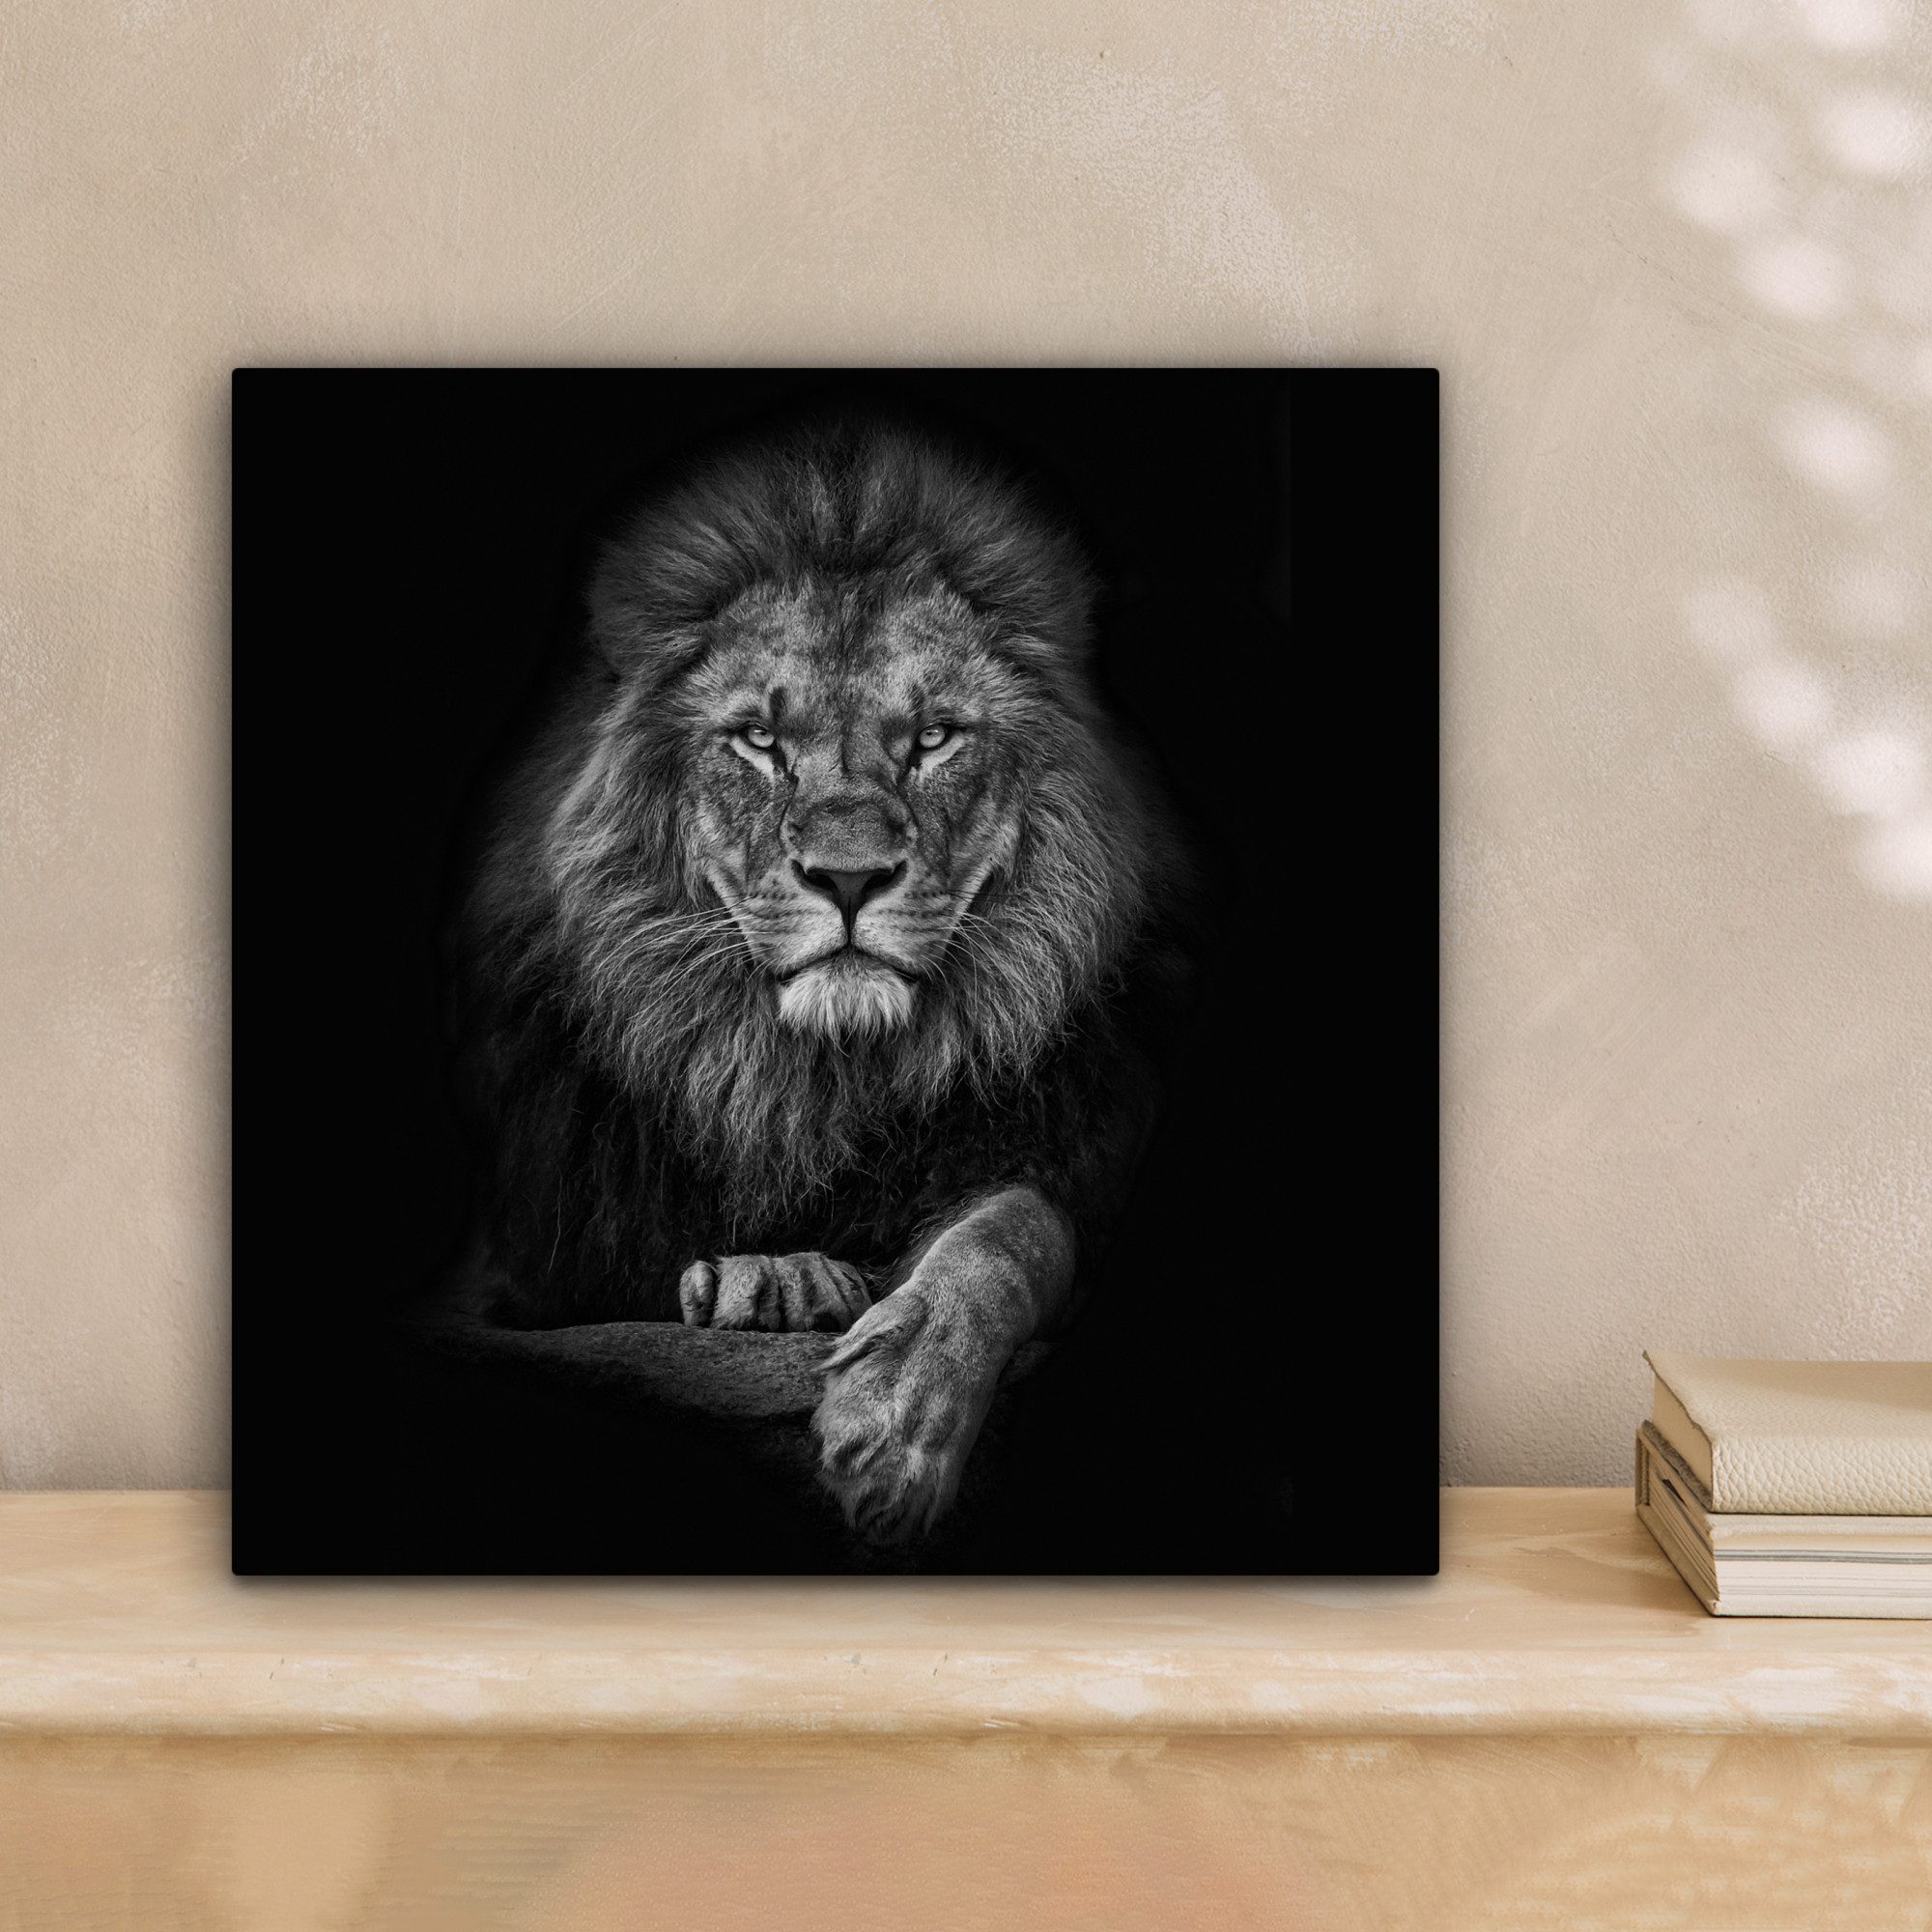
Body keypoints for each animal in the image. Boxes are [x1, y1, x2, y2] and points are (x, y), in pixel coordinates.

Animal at [445, 416, 1190, 1545]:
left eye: (932, 738)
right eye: (760, 739)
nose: (847, 876)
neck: (810, 1083)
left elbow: (1011, 1230)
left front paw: (897, 1419)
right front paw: (775, 1279)